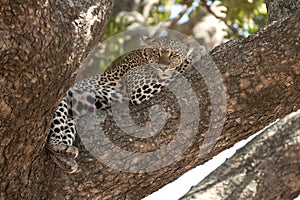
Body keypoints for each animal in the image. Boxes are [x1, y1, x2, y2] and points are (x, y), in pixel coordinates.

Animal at [45, 34, 197, 172]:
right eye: (156, 53)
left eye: (173, 54)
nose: (163, 67)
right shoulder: (138, 90)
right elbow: (175, 71)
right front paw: (196, 54)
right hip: (60, 102)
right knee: (51, 140)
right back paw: (58, 146)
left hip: (72, 118)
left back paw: (65, 158)